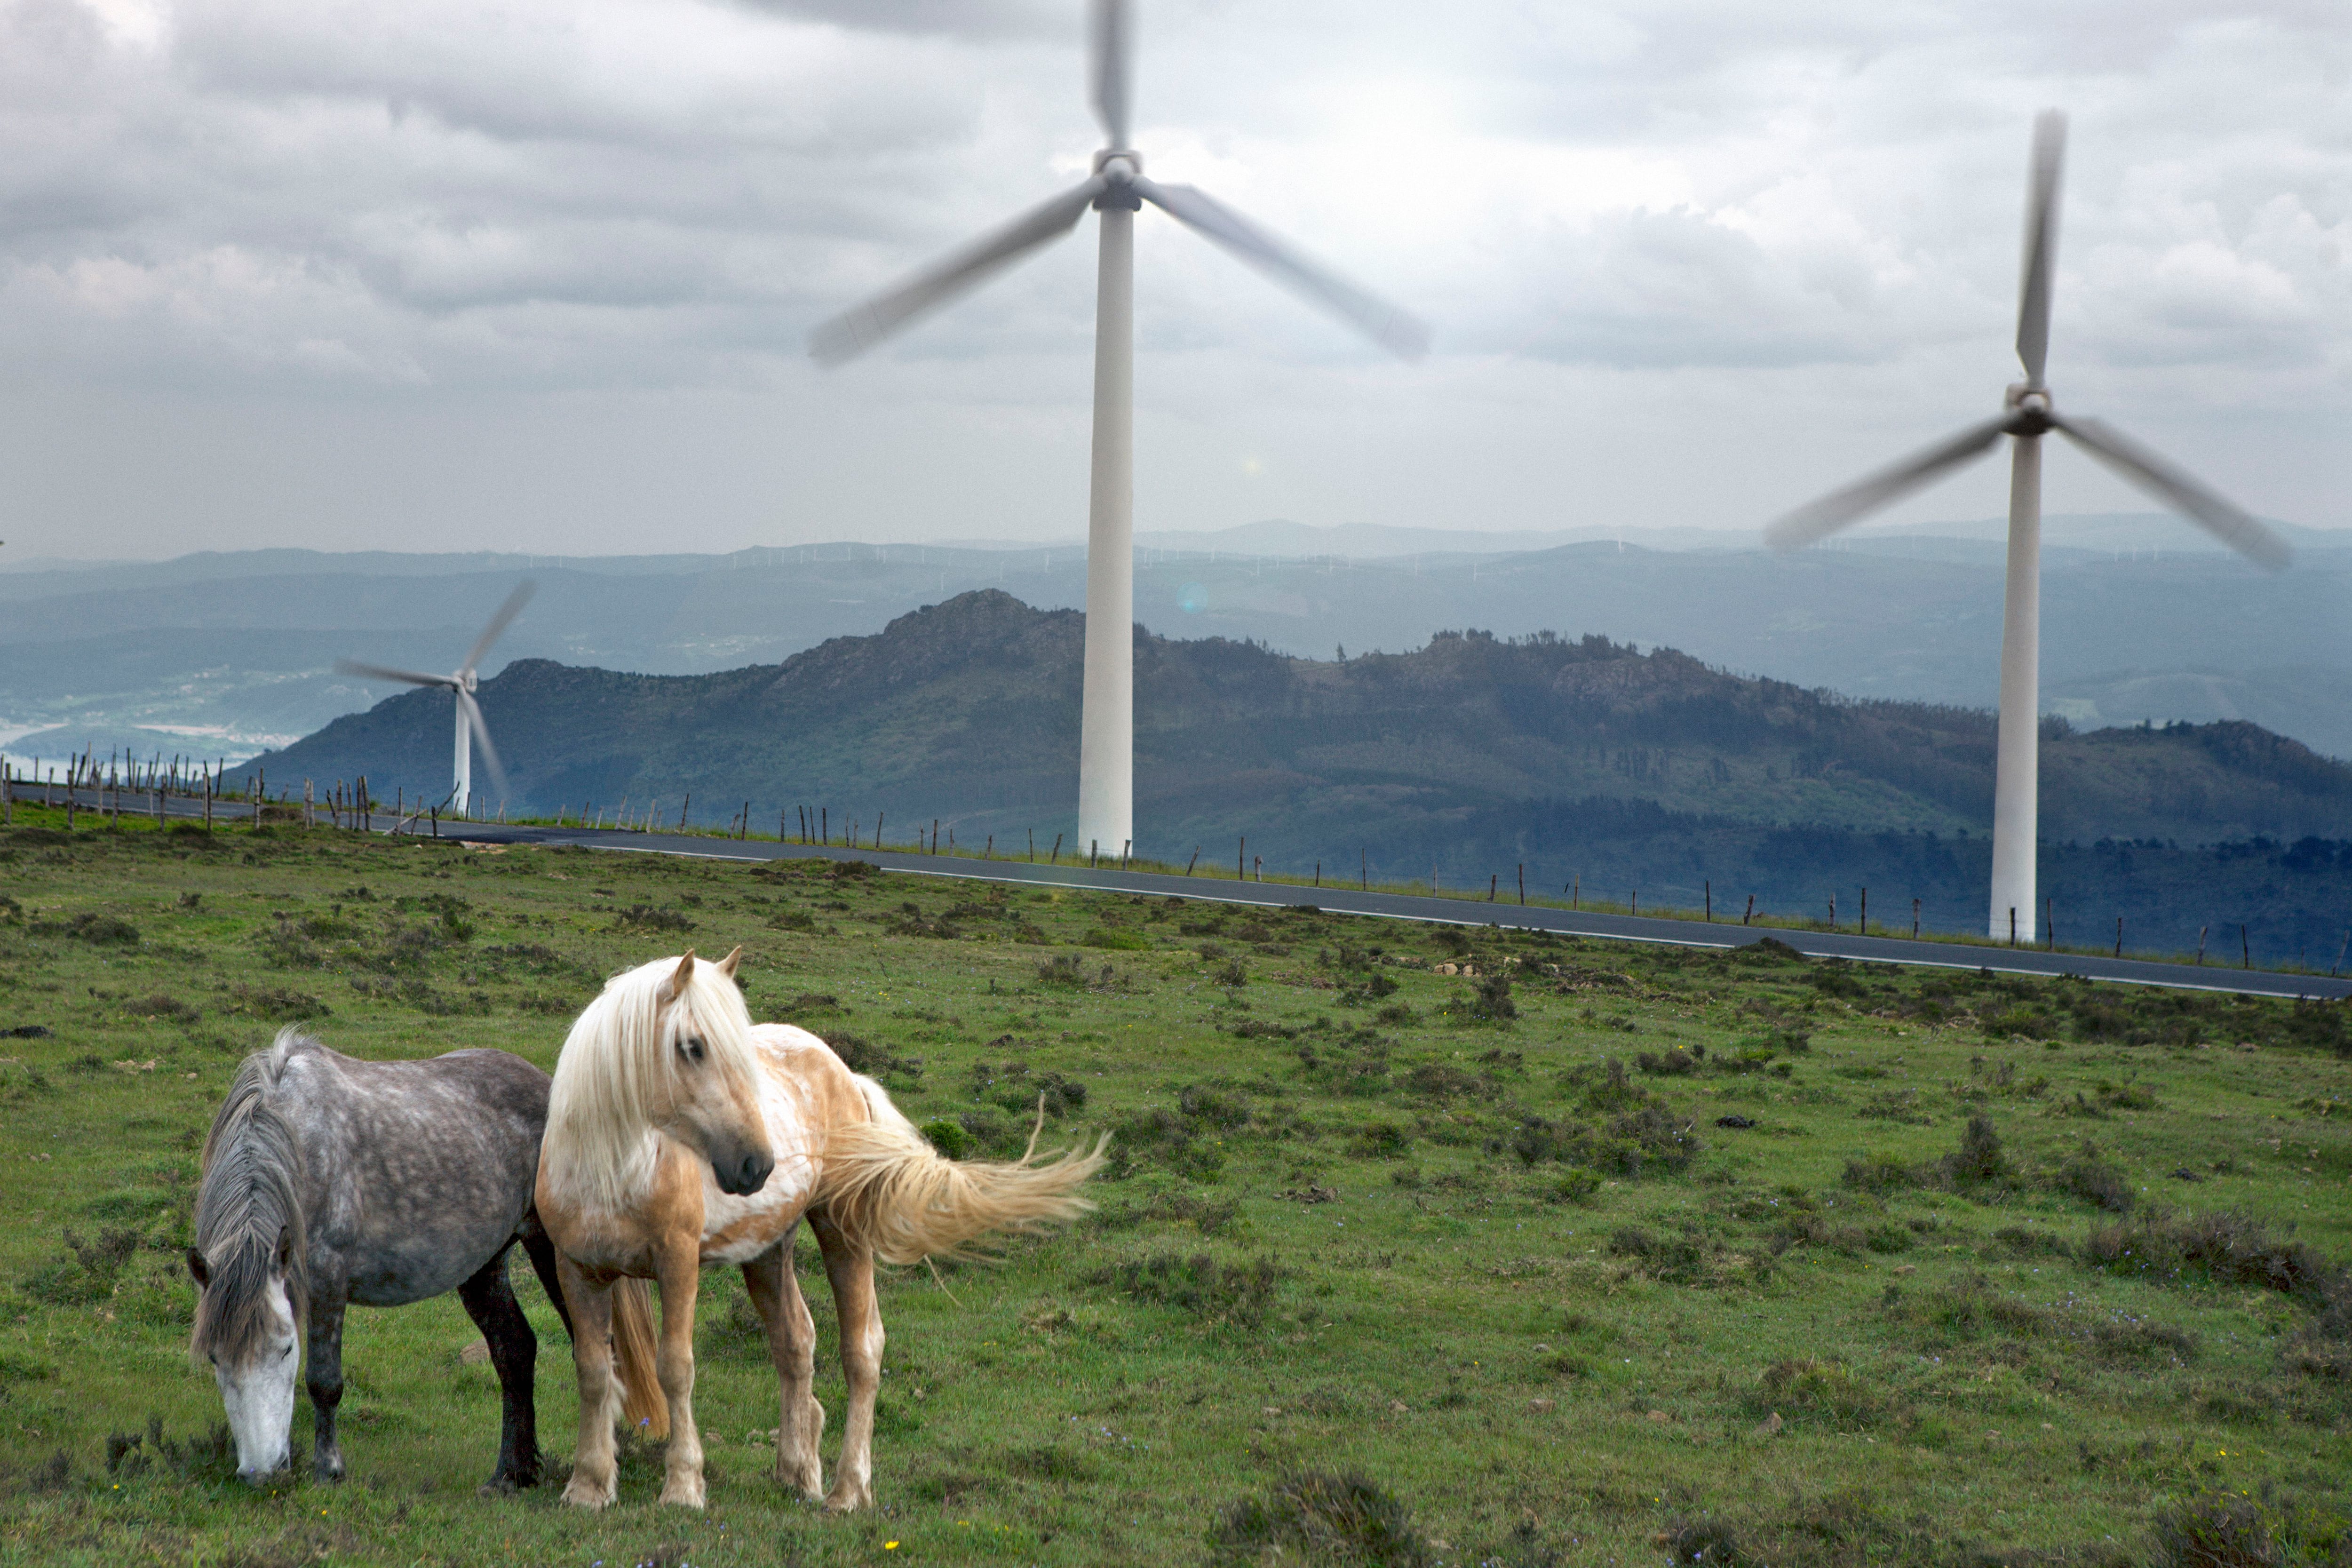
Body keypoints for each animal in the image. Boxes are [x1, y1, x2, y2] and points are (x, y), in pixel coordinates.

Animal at [181, 1029, 663, 1486]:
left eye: (285, 1349)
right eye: (215, 1358)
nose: (259, 1473)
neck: (299, 1144)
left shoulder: (327, 1279)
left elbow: (324, 1381)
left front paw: (329, 1470)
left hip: (552, 1250)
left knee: (598, 1351)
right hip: (484, 1264)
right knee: (515, 1350)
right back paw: (511, 1475)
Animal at [541, 949, 1110, 1514]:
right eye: (692, 1047)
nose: (756, 1164)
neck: (613, 1169)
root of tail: (844, 1071)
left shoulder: (677, 1262)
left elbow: (675, 1368)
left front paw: (682, 1486)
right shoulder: (576, 1269)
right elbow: (593, 1371)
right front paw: (588, 1484)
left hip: (843, 1232)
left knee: (862, 1351)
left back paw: (847, 1489)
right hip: (769, 1251)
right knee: (795, 1342)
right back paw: (796, 1472)